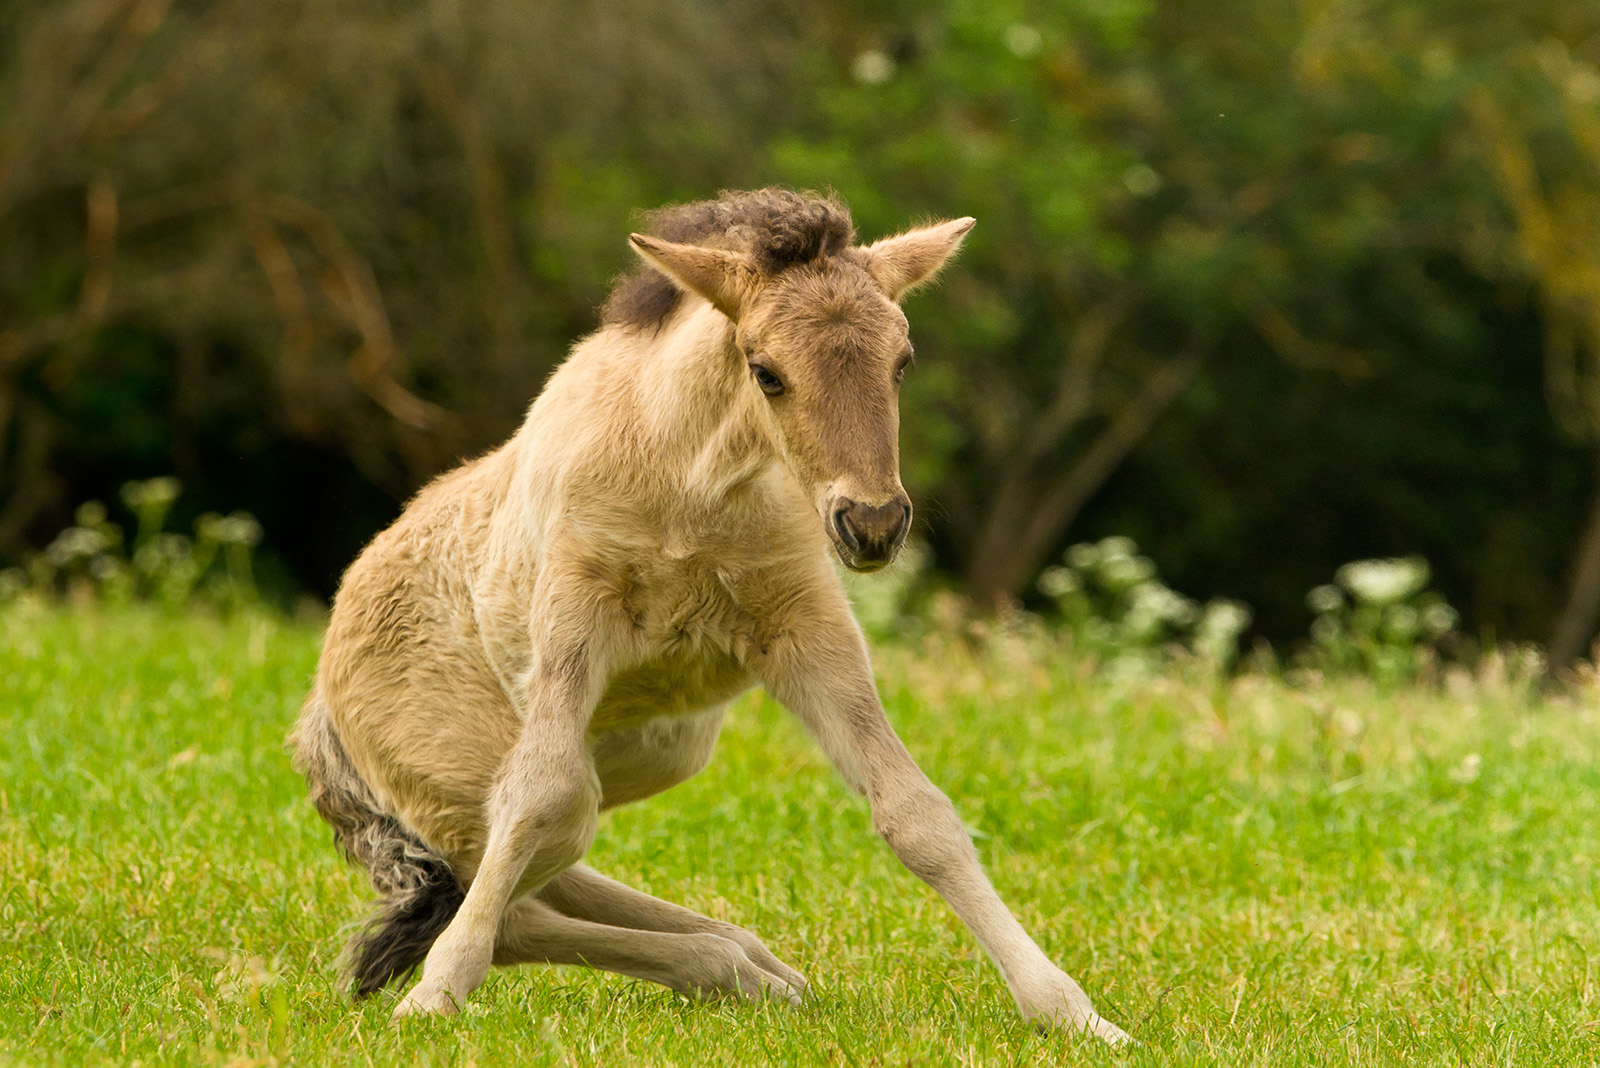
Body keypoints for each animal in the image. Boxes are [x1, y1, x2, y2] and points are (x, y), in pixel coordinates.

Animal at [294, 187, 1132, 1036]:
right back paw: (732, 967)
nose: (872, 523)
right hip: (470, 778)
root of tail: (321, 710)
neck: (690, 483)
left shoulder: (805, 627)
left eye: (903, 362)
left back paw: (757, 966)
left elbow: (918, 815)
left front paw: (1077, 1016)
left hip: (658, 754)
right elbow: (535, 799)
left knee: (538, 878)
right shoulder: (574, 612)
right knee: (529, 870)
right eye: (766, 372)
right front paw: (436, 993)